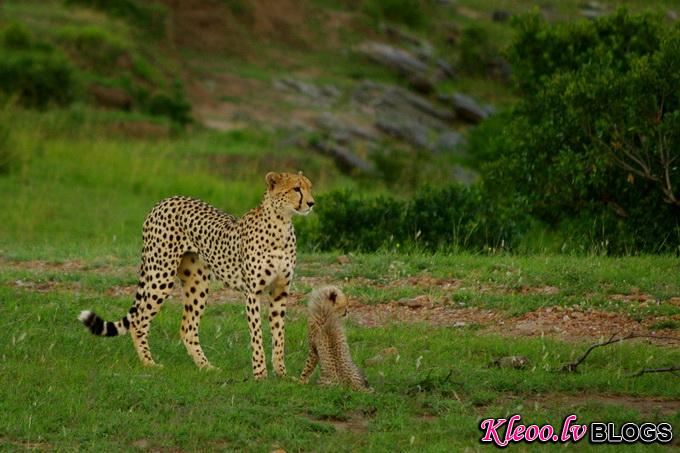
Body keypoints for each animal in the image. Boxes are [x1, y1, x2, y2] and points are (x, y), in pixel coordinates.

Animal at [79, 170, 314, 378]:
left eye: (310, 187)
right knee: (139, 320)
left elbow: (279, 335)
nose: (312, 203)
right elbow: (257, 335)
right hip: (161, 274)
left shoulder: (280, 291)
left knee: (187, 328)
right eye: (296, 189)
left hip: (197, 281)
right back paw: (149, 363)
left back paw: (207, 367)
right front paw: (260, 374)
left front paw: (282, 374)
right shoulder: (252, 292)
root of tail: (164, 200)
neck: (281, 225)